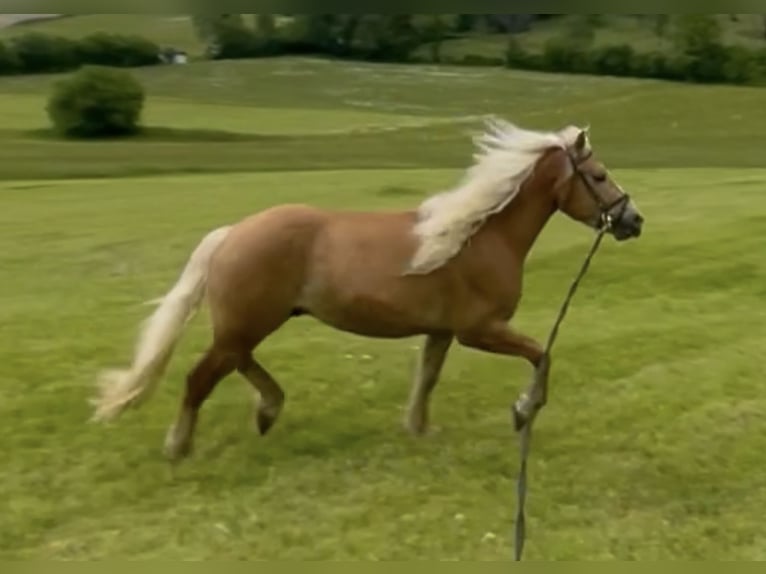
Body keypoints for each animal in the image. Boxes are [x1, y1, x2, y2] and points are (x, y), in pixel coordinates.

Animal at [90, 118, 644, 462]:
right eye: (598, 175)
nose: (632, 220)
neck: (479, 236)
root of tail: (231, 233)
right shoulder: (481, 329)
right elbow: (541, 355)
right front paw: (522, 411)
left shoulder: (443, 331)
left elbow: (427, 378)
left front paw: (419, 429)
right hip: (246, 324)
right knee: (200, 378)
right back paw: (180, 446)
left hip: (249, 325)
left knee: (236, 363)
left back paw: (268, 410)